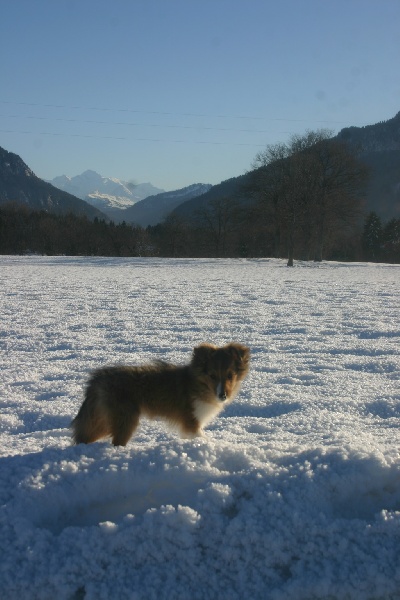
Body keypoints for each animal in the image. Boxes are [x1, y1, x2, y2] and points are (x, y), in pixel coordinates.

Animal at [70, 342, 248, 446]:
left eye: (230, 375)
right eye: (212, 375)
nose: (223, 395)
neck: (199, 385)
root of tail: (99, 379)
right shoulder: (191, 423)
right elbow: (202, 437)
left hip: (104, 420)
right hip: (125, 420)